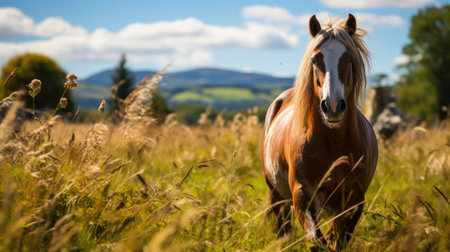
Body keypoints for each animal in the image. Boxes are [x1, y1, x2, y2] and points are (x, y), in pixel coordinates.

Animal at [262, 14, 378, 250]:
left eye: (349, 58)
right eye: (315, 60)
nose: (332, 106)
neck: (332, 143)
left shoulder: (354, 200)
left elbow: (338, 240)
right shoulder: (302, 193)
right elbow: (317, 240)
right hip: (277, 195)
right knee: (282, 227)